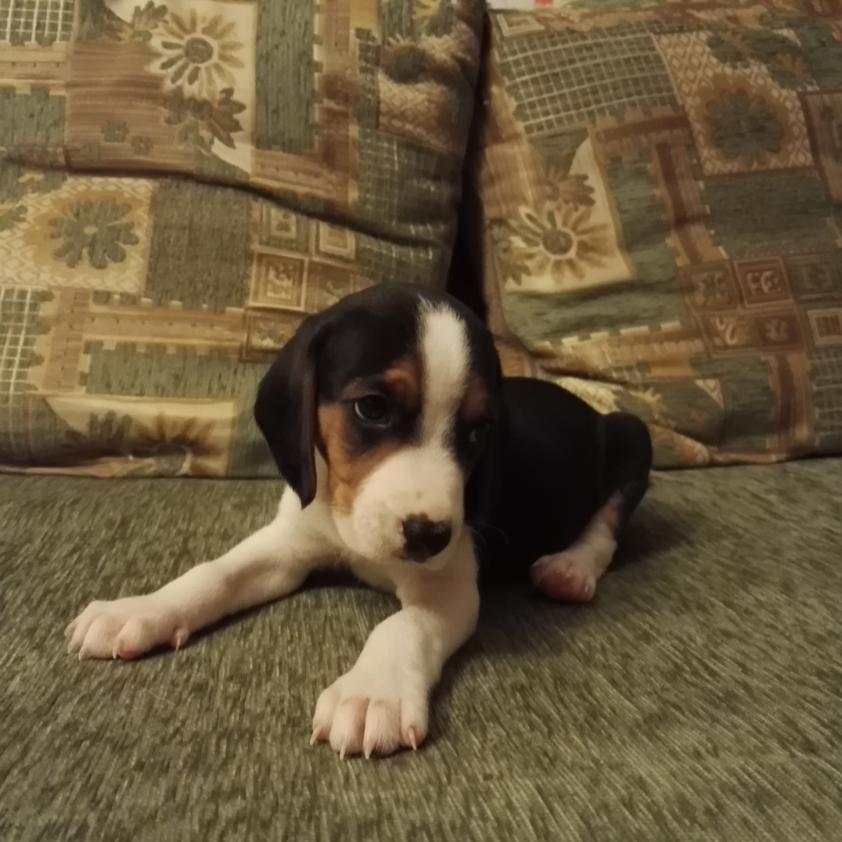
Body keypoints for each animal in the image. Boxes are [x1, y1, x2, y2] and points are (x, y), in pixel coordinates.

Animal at [66, 283, 652, 759]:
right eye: (372, 407)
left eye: (478, 431)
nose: (429, 535)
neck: (348, 525)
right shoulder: (288, 546)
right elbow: (214, 573)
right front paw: (140, 609)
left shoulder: (450, 586)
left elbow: (400, 626)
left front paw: (373, 693)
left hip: (633, 432)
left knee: (606, 527)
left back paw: (570, 569)